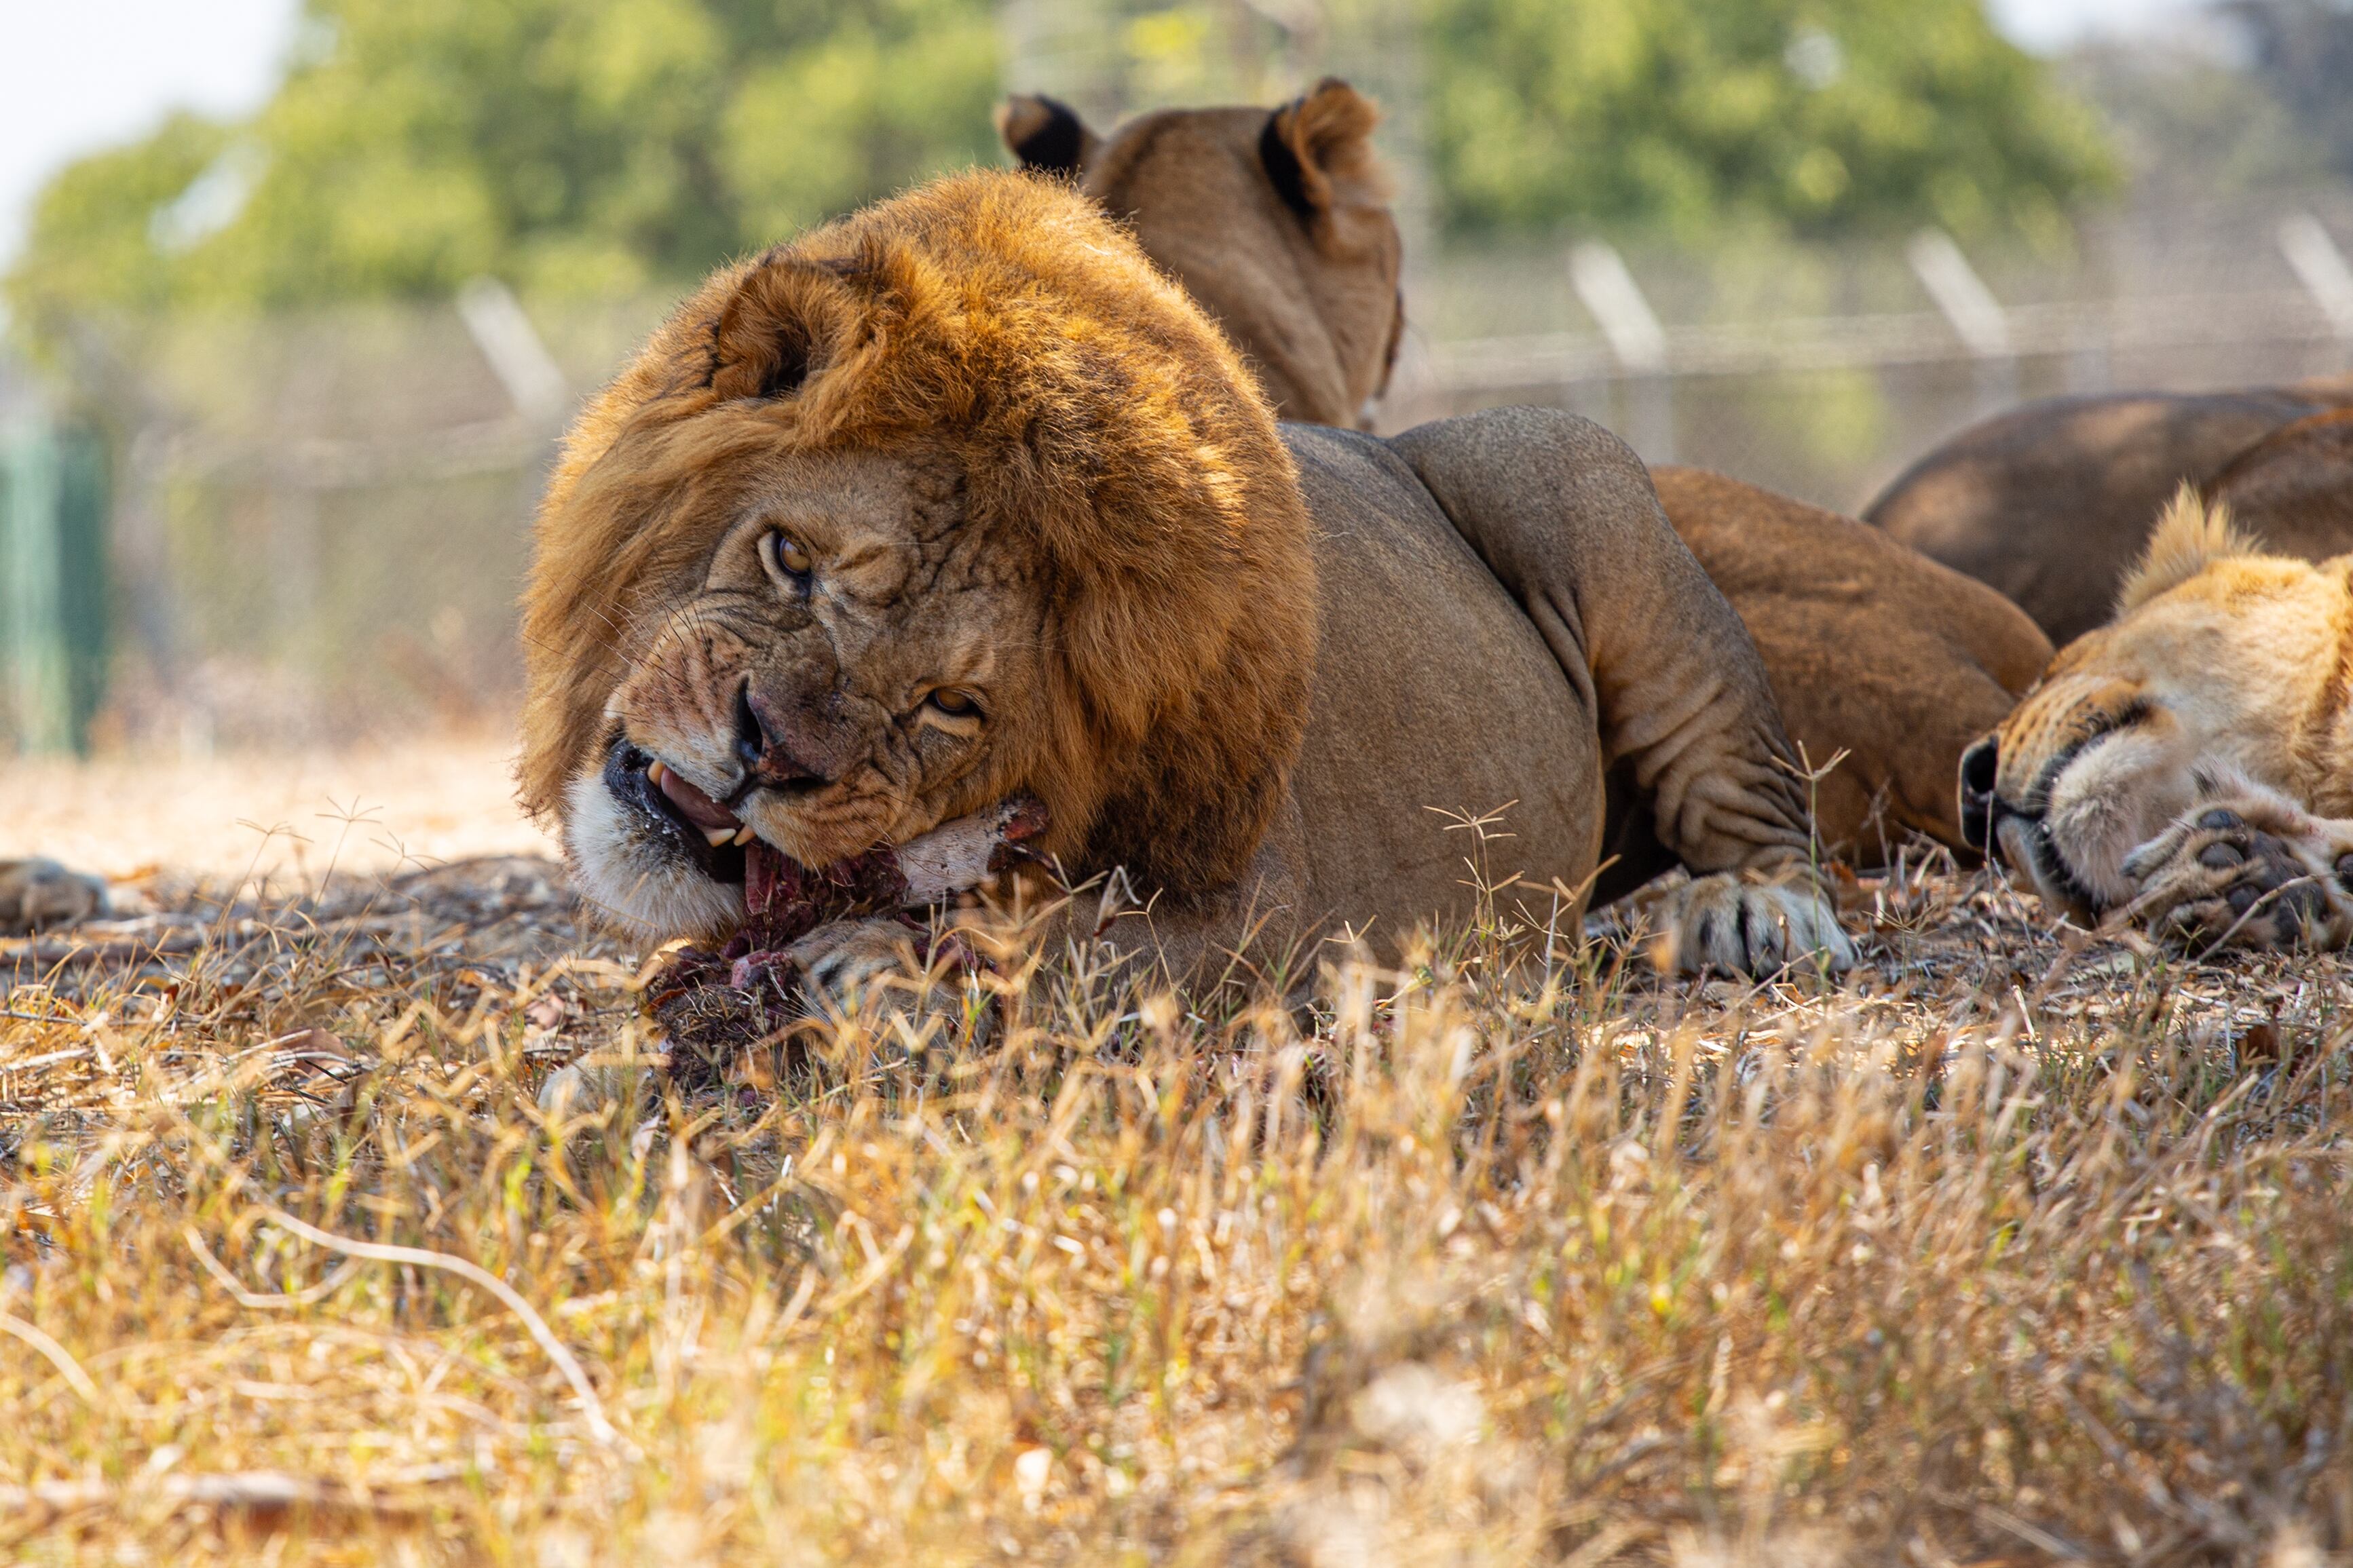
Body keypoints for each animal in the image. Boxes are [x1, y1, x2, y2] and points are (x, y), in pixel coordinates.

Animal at [520, 171, 1853, 982]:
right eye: (788, 556)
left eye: (948, 707)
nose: (761, 759)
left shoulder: (1270, 908)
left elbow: (1066, 943)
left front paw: (887, 956)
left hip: (1569, 477)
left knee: (1759, 805)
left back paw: (1756, 911)